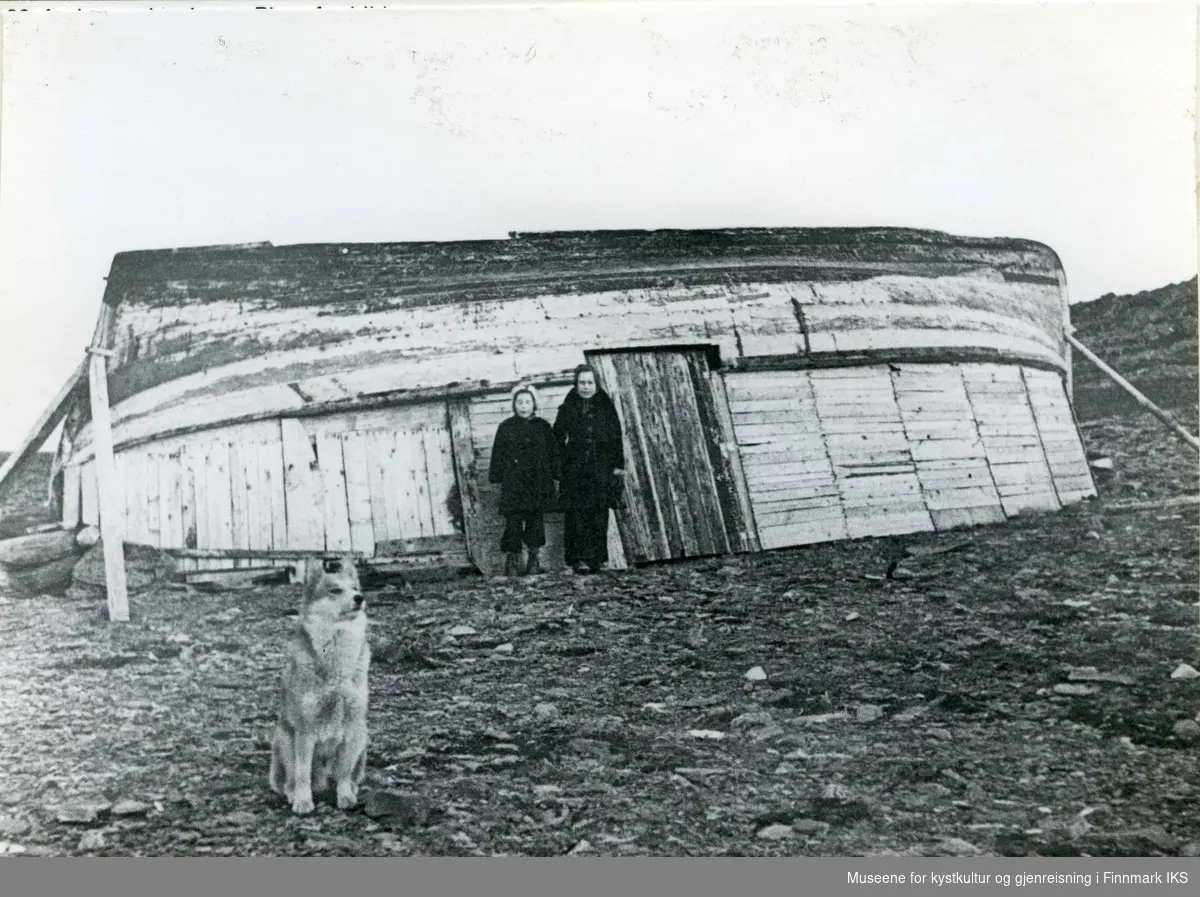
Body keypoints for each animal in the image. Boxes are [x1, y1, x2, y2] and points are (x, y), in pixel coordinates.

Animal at [268, 554, 369, 810]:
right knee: (291, 778)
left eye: (355, 589)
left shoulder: (351, 726)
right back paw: (293, 793)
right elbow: (302, 772)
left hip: (362, 735)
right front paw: (303, 801)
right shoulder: (305, 730)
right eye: (335, 590)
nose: (360, 598)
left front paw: (345, 796)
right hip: (285, 738)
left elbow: (344, 771)